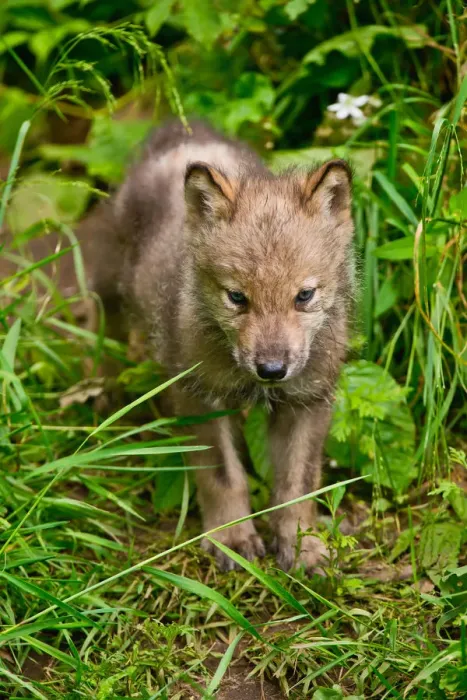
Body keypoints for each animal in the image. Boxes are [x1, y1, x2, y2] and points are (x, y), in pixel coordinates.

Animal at [89, 119, 355, 571]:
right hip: (111, 285)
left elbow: (297, 485)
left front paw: (302, 547)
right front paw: (231, 539)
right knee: (104, 326)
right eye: (237, 297)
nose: (271, 370)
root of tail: (182, 129)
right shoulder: (199, 397)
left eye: (304, 295)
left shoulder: (308, 400)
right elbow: (223, 477)